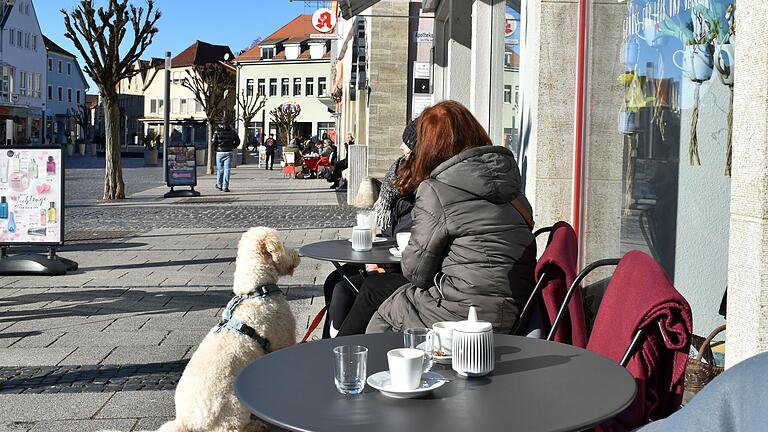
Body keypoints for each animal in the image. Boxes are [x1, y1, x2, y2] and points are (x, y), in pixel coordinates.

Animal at [103, 228, 302, 430]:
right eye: (282, 244)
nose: (298, 254)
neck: (255, 291)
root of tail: (186, 421)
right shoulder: (283, 339)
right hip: (234, 405)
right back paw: (253, 426)